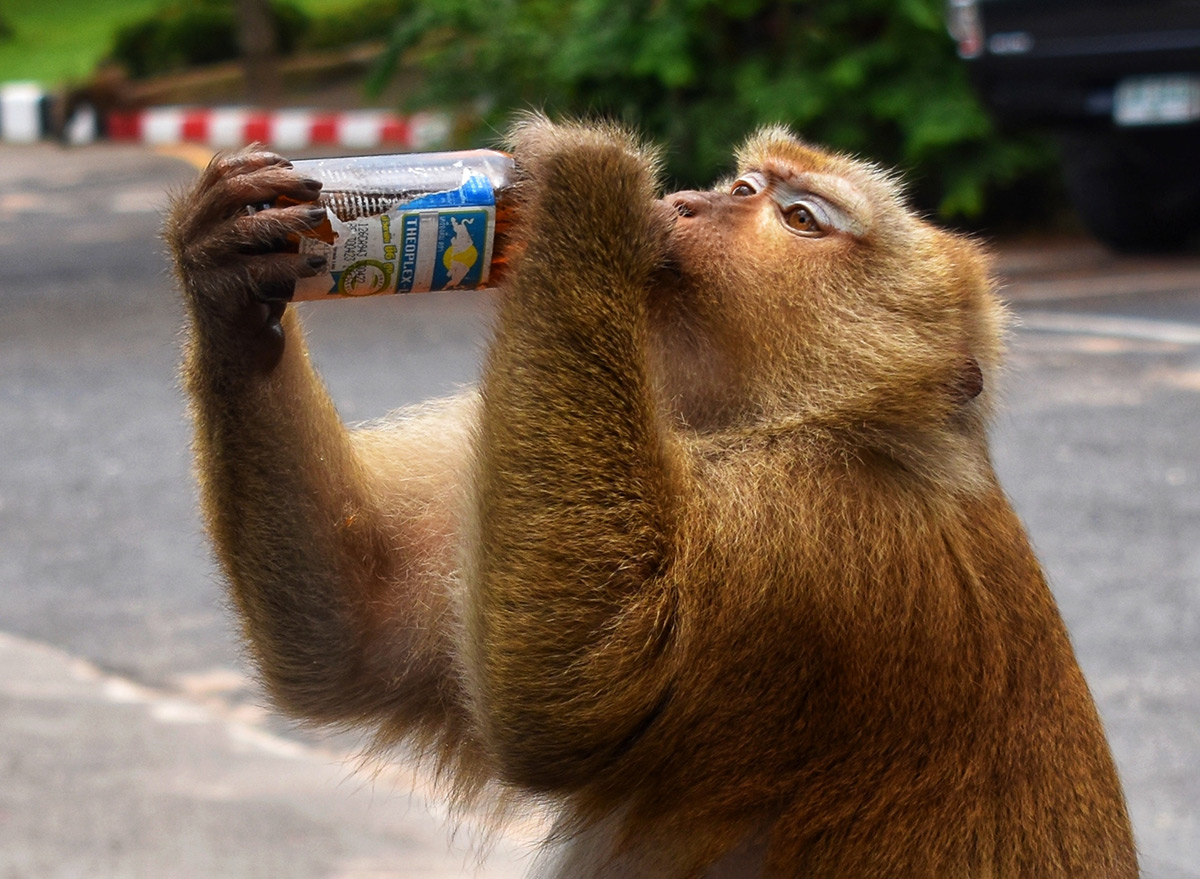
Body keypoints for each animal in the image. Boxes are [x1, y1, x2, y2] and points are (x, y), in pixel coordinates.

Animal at [165, 115, 1138, 878]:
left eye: (798, 219)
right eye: (745, 184)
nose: (693, 202)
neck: (826, 422)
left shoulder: (816, 539)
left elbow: (574, 694)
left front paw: (586, 181)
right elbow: (358, 634)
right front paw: (231, 271)